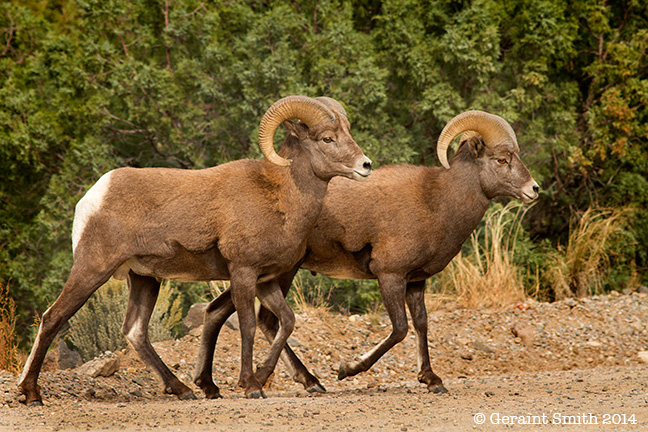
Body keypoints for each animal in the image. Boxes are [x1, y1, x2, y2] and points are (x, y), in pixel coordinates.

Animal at [17, 94, 372, 404]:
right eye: (327, 139)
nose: (366, 165)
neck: (280, 195)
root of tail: (94, 195)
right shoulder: (243, 273)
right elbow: (248, 326)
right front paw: (251, 386)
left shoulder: (267, 280)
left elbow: (286, 321)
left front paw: (265, 377)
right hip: (93, 269)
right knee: (53, 318)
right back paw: (31, 394)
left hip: (145, 279)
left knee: (135, 331)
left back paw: (183, 389)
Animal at [195, 110, 540, 398]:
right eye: (502, 159)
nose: (534, 189)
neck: (437, 202)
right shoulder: (390, 275)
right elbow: (400, 329)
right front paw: (347, 369)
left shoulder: (416, 282)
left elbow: (421, 324)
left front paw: (432, 380)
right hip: (277, 271)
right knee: (264, 320)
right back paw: (297, 381)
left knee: (224, 312)